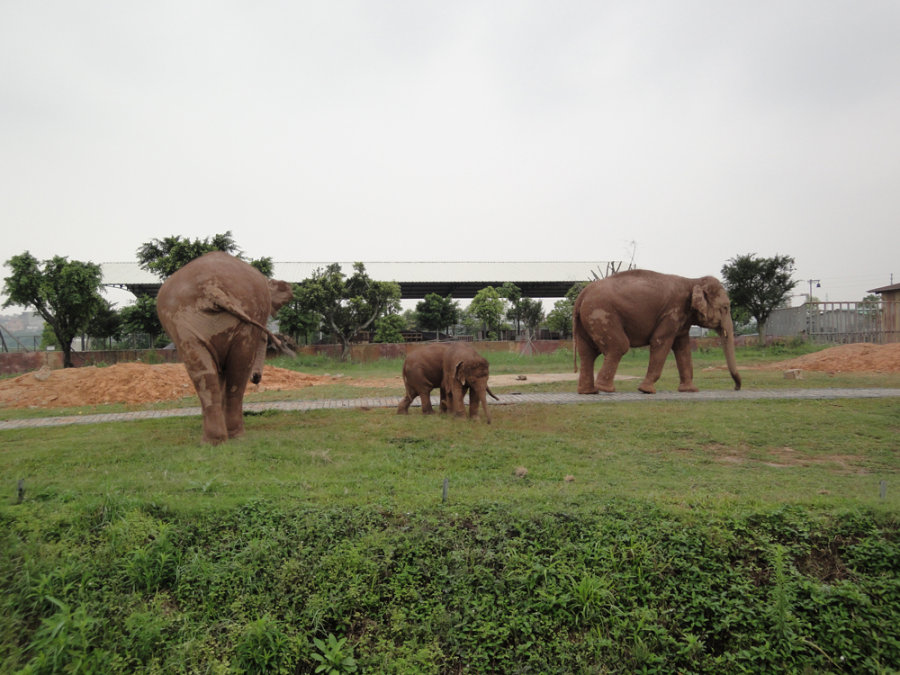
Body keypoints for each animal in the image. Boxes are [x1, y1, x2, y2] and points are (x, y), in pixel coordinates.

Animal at [156, 251, 294, 446]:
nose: (256, 379)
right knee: (230, 368)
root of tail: (212, 289)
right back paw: (225, 438)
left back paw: (219, 439)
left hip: (186, 321)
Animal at [572, 270, 740, 396]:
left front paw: (690, 390)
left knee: (587, 353)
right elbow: (660, 341)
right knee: (619, 346)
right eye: (725, 307)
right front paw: (646, 390)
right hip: (601, 314)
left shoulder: (681, 319)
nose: (736, 388)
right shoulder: (672, 312)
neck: (693, 281)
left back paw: (589, 392)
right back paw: (606, 389)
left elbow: (683, 348)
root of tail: (582, 294)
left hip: (587, 319)